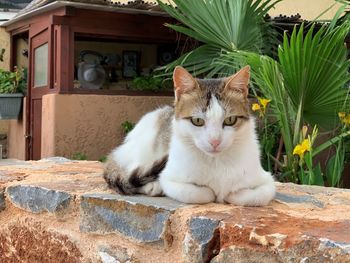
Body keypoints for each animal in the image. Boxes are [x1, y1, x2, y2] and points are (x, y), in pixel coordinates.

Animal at [104, 65, 276, 206]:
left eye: (230, 120)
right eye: (197, 121)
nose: (215, 141)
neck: (216, 162)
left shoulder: (267, 181)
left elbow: (253, 196)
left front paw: (228, 194)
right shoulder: (171, 179)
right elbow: (199, 193)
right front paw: (216, 193)